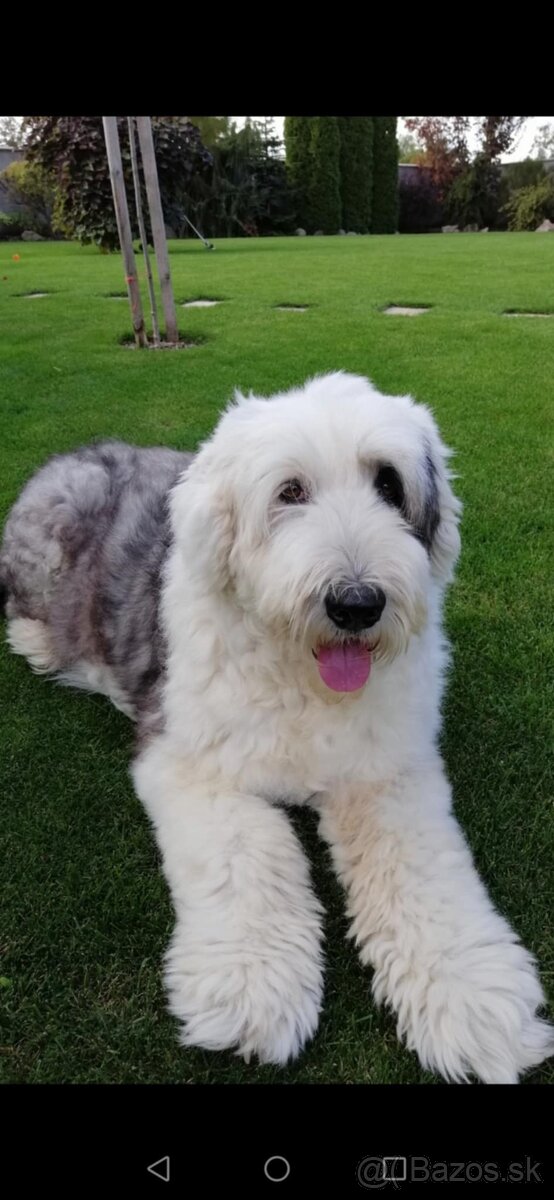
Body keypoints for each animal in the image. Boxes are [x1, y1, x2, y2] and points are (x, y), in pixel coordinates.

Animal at [2, 369, 551, 1084]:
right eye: (291, 492)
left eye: (389, 485)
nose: (356, 603)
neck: (304, 679)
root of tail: (80, 450)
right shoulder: (194, 766)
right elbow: (247, 863)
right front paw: (252, 988)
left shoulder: (388, 774)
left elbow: (424, 875)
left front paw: (474, 997)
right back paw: (44, 645)